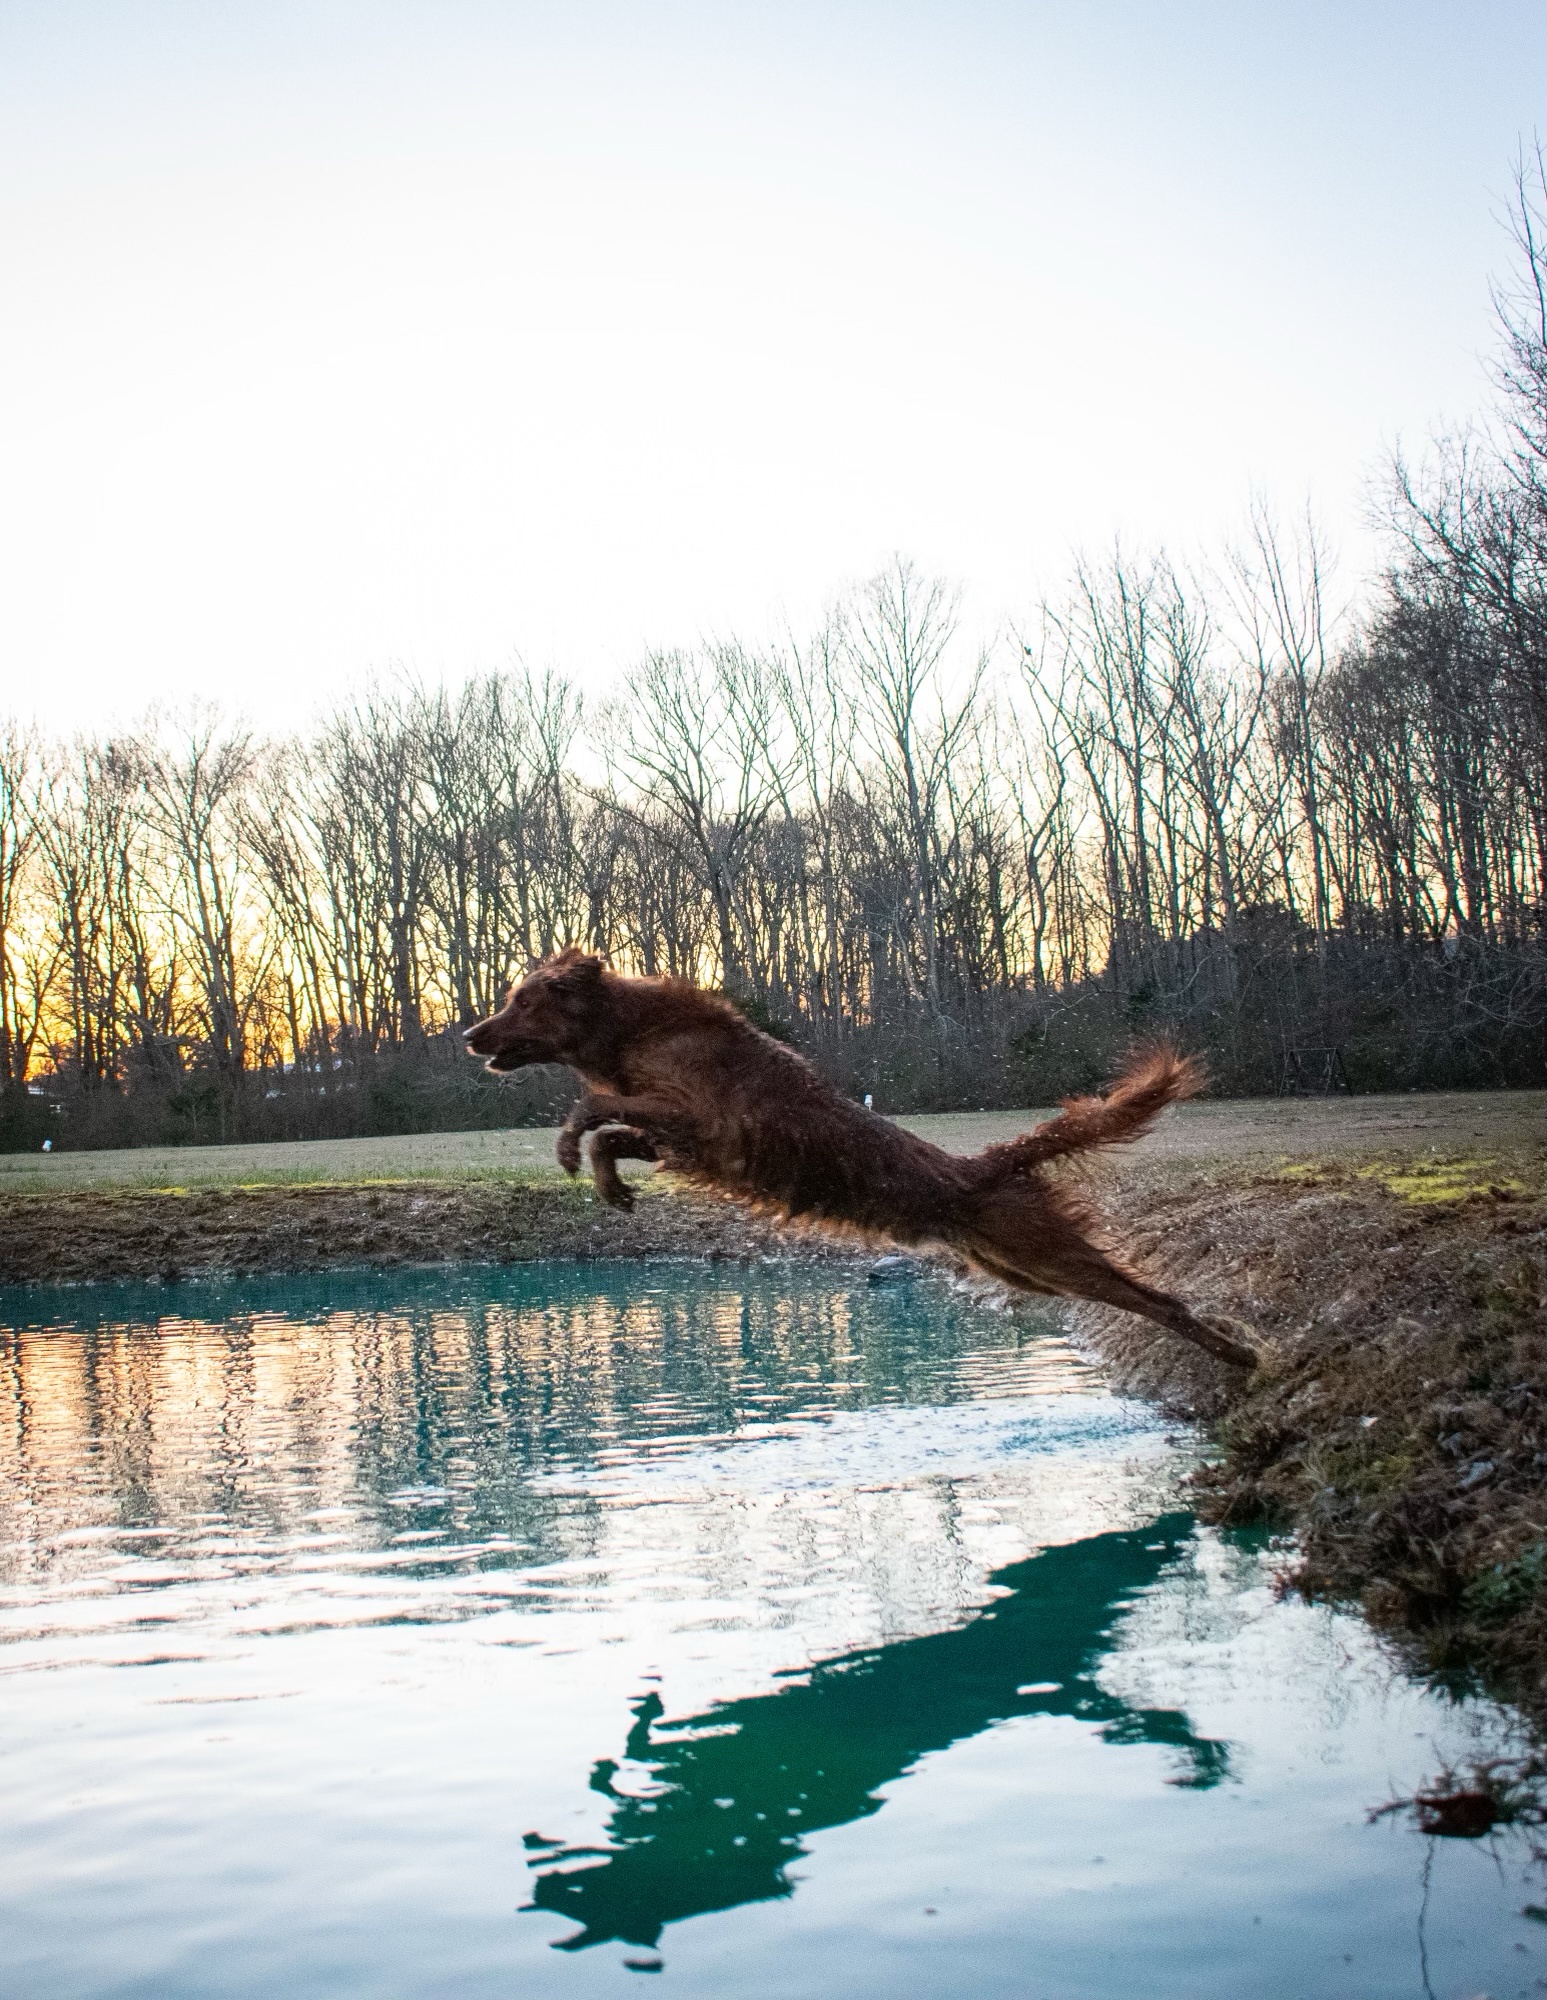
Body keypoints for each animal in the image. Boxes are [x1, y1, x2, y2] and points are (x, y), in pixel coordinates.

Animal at [463, 944, 1263, 1368]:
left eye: (522, 1001)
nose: (470, 1035)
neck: (635, 1030)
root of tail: (982, 1167)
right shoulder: (685, 1139)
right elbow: (613, 1129)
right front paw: (608, 1183)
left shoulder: (703, 1119)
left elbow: (591, 1111)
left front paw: (574, 1153)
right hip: (1022, 1268)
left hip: (1051, 1256)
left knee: (1158, 1300)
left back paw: (1239, 1354)